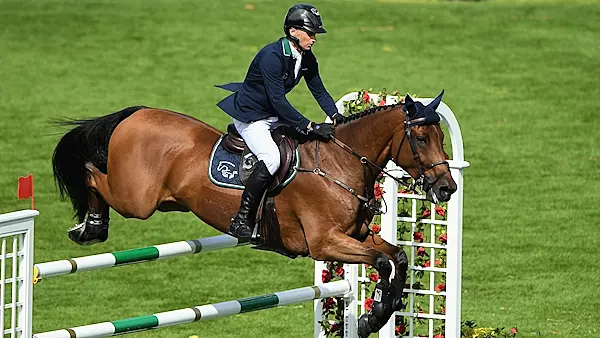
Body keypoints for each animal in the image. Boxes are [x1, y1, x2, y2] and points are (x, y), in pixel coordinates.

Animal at [51, 91, 458, 336]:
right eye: (421, 139)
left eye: (441, 138)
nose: (446, 189)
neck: (339, 163)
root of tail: (137, 113)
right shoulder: (325, 244)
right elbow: (383, 261)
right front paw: (373, 315)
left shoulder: (355, 236)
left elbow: (397, 257)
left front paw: (376, 314)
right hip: (137, 200)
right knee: (91, 172)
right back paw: (89, 227)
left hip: (162, 199)